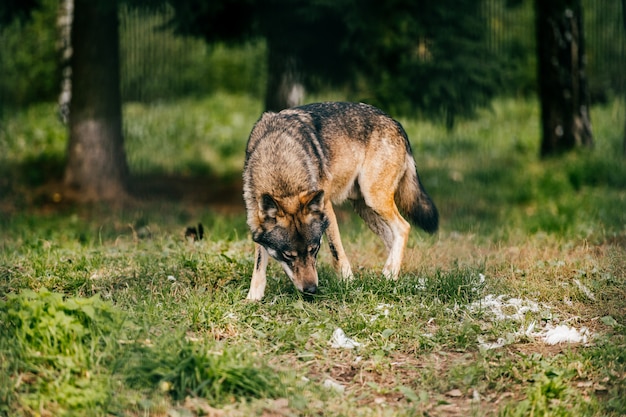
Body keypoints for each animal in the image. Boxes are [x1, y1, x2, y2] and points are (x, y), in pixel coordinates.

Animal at [241, 102, 436, 300]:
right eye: (288, 256)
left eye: (314, 249)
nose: (311, 290)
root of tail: (396, 123)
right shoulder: (256, 219)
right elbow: (259, 262)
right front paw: (253, 297)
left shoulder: (326, 208)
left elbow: (336, 250)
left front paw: (347, 282)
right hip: (365, 208)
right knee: (392, 237)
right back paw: (393, 277)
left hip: (373, 198)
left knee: (404, 227)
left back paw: (390, 273)